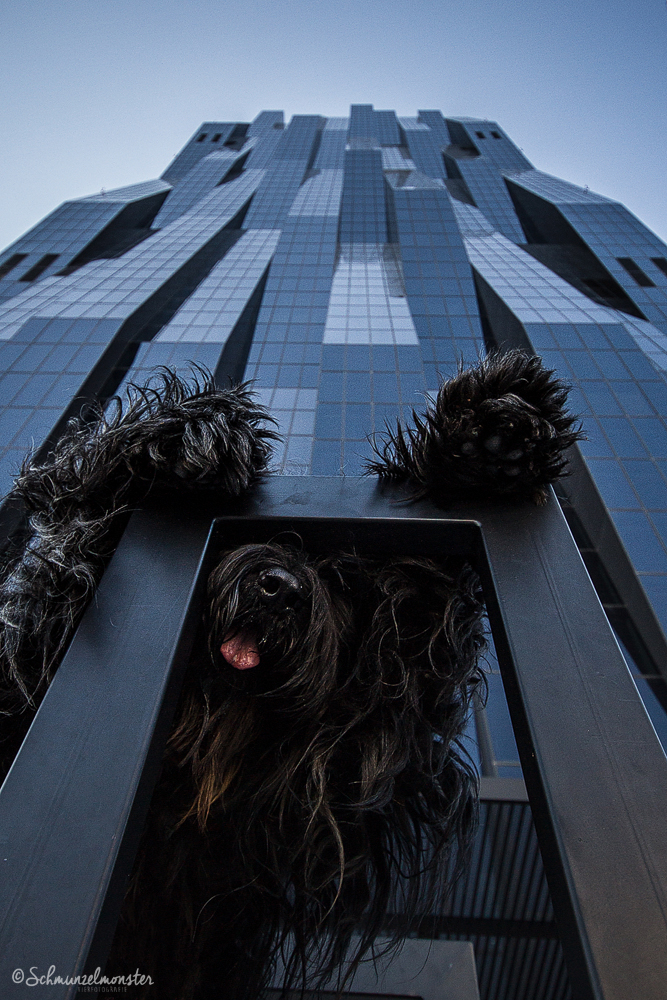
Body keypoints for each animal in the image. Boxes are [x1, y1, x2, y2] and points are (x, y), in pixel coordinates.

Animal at [0, 352, 580, 998]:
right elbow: (73, 536)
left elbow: (422, 613)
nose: (279, 589)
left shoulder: (346, 757)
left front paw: (489, 441)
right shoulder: (35, 651)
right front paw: (190, 439)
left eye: (342, 578)